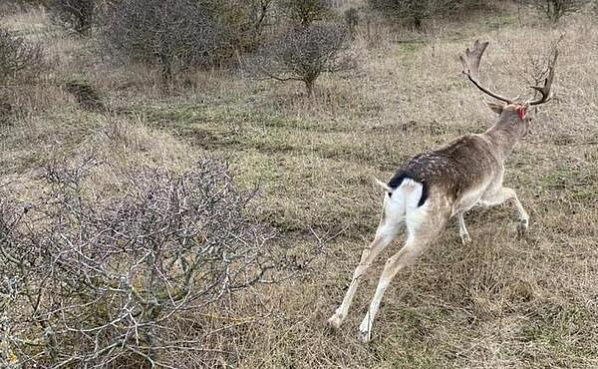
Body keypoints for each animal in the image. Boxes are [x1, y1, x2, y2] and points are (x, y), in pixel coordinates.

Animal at [328, 38, 556, 340]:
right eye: (530, 118)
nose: (532, 128)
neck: (498, 147)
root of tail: (406, 181)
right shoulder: (490, 189)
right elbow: (512, 192)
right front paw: (523, 224)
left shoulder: (462, 200)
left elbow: (460, 211)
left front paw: (465, 236)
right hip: (426, 228)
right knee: (389, 264)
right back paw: (365, 329)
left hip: (389, 218)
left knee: (365, 256)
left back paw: (337, 317)